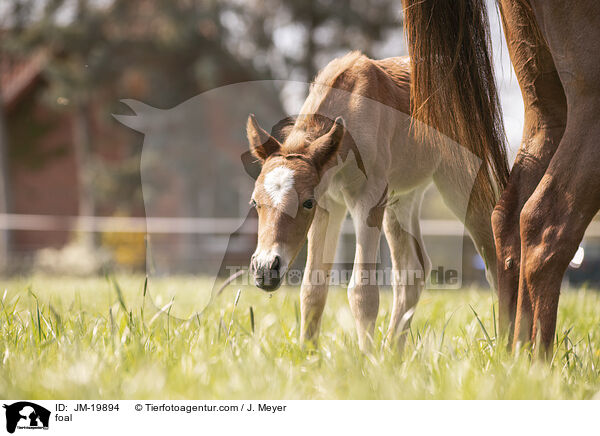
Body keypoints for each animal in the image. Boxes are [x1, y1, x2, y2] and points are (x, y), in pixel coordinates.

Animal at [244, 52, 506, 350]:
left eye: (306, 202)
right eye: (255, 203)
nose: (266, 268)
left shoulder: (368, 199)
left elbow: (362, 290)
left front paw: (367, 358)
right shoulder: (329, 205)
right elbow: (313, 286)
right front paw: (307, 354)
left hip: (459, 179)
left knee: (493, 257)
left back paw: (509, 343)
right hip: (402, 197)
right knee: (413, 269)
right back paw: (393, 351)